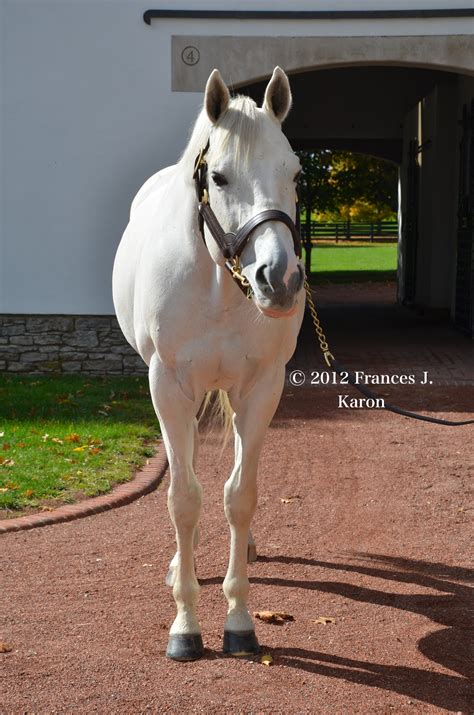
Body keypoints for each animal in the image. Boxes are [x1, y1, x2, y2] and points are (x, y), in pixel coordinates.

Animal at [112, 67, 304, 660]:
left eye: (296, 172)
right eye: (218, 177)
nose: (279, 280)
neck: (220, 284)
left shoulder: (262, 390)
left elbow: (240, 497)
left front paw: (239, 620)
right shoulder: (169, 387)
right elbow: (183, 498)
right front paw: (185, 625)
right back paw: (181, 564)